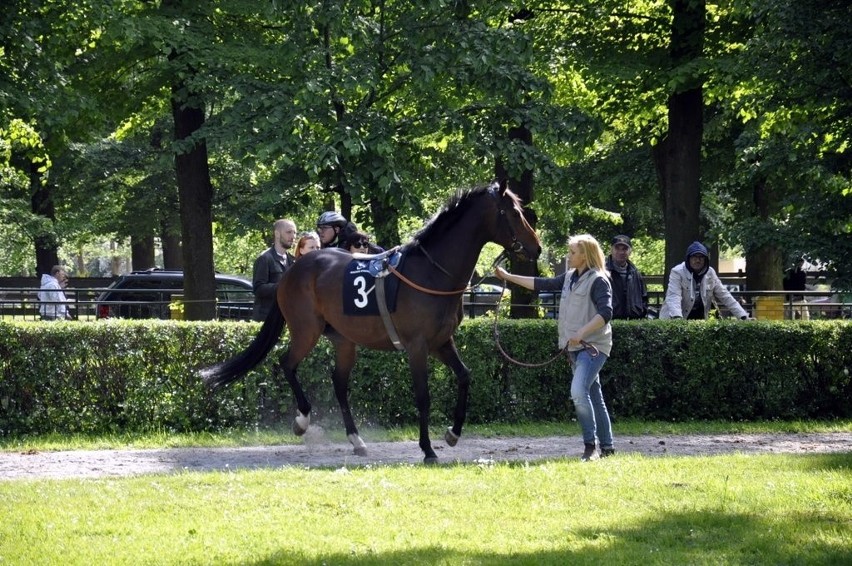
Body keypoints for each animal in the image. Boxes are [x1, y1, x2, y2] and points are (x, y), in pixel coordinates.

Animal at [200, 184, 540, 464]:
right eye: (513, 212)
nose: (536, 248)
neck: (431, 274)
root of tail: (295, 269)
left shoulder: (442, 343)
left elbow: (465, 376)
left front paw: (453, 434)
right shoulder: (417, 346)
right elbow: (423, 396)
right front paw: (427, 449)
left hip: (343, 340)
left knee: (338, 383)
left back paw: (356, 440)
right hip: (306, 331)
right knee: (286, 364)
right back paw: (302, 420)